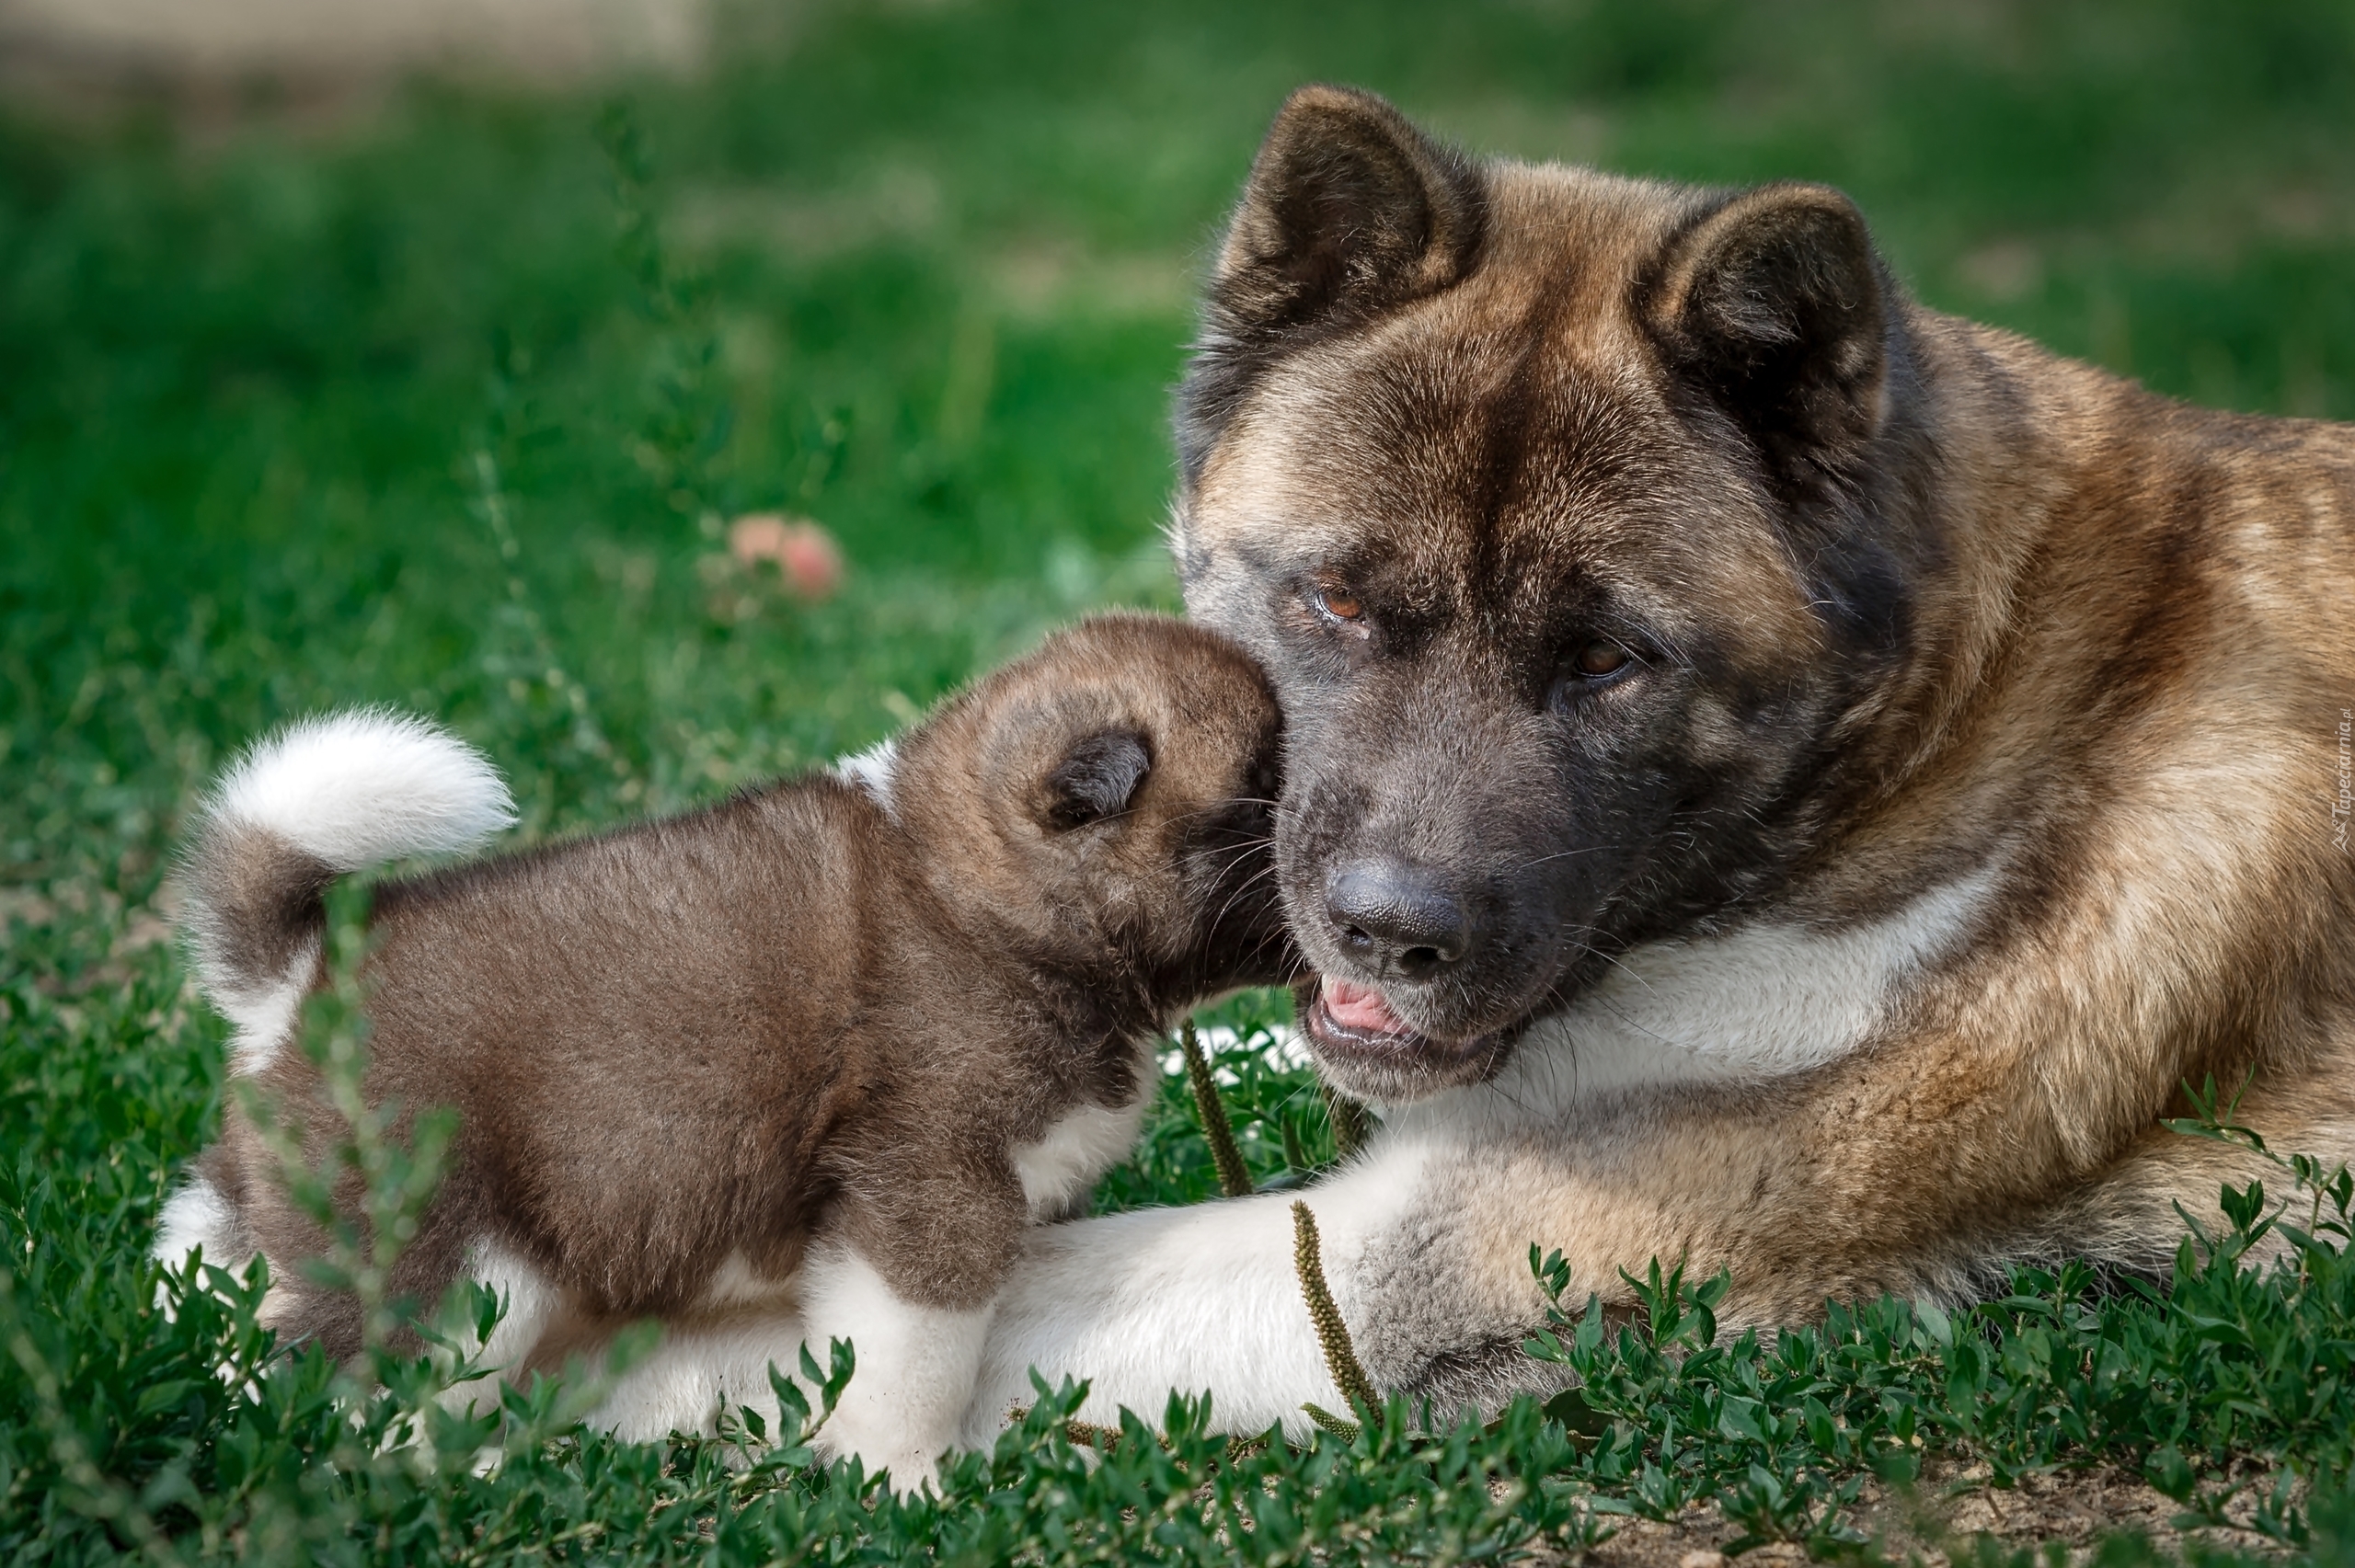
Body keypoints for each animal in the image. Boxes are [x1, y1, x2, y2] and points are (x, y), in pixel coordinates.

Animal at [156, 612, 1300, 1478]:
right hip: (449, 1267)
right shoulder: (928, 1192)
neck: (984, 893)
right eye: (1262, 784)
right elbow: (914, 1361)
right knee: (372, 1390)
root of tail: (298, 980)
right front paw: (904, 1475)